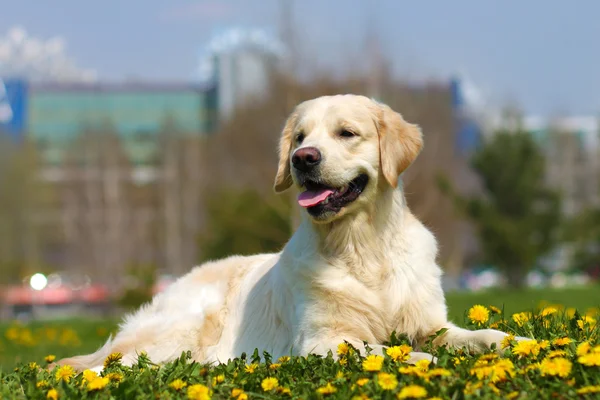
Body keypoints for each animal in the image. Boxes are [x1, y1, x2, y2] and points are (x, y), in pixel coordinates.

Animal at [57, 94, 524, 372]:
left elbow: (478, 336)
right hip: (181, 327)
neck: (363, 248)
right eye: (300, 137)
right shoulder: (322, 340)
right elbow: (396, 350)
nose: (303, 158)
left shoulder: (430, 322)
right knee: (107, 367)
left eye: (346, 133)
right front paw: (423, 360)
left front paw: (516, 341)